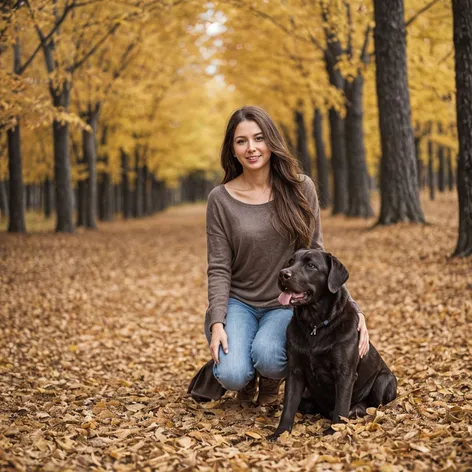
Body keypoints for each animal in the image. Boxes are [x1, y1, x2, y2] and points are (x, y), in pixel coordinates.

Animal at [268, 249, 396, 440]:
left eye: (311, 265)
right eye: (290, 261)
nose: (283, 274)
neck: (315, 325)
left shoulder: (345, 373)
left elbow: (341, 406)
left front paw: (334, 431)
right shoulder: (295, 371)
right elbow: (289, 406)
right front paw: (280, 433)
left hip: (384, 379)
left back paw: (357, 409)